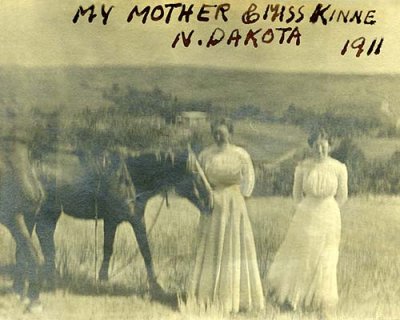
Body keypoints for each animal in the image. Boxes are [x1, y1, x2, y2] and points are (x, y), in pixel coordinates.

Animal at [34, 148, 208, 298]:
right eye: (195, 173)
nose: (209, 200)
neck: (130, 177)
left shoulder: (132, 219)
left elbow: (138, 249)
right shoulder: (116, 220)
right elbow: (119, 249)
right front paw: (105, 280)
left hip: (51, 213)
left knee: (45, 238)